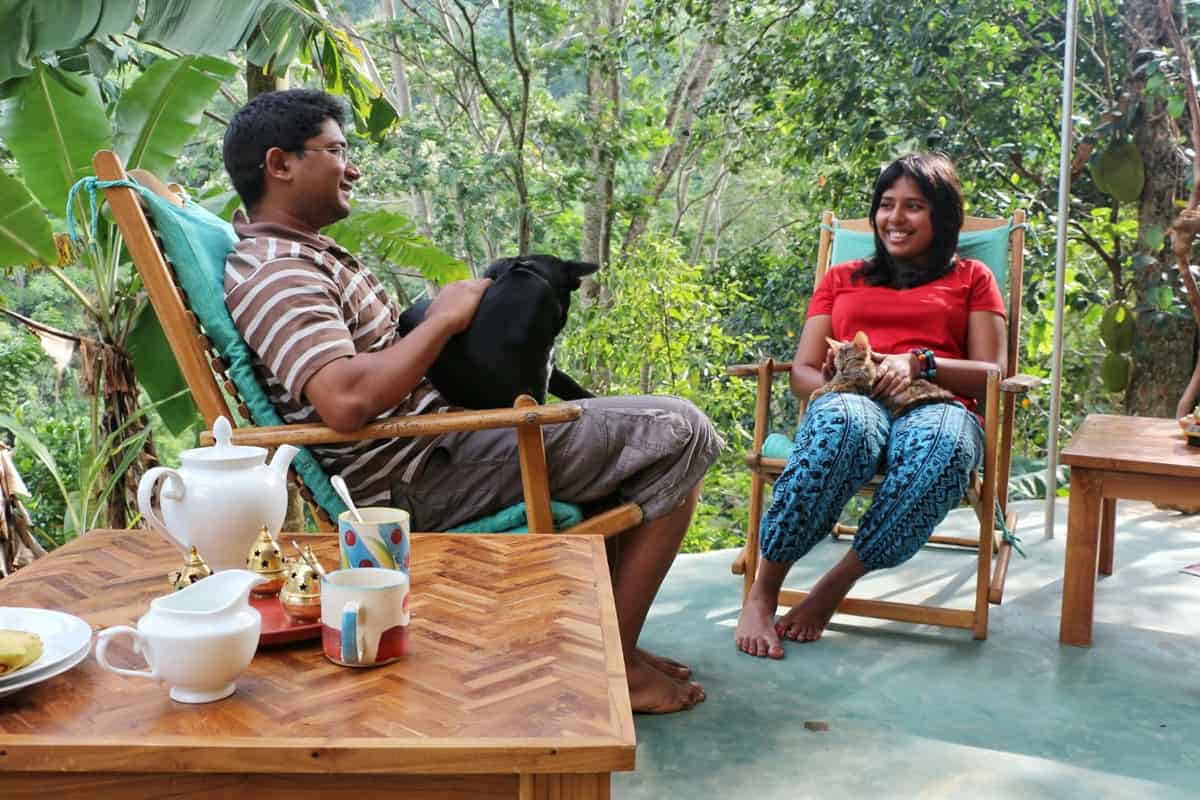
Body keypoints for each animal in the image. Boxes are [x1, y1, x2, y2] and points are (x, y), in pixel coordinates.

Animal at [816, 331, 955, 419]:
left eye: (849, 360)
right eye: (837, 361)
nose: (841, 369)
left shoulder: (868, 387)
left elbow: (852, 385)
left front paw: (839, 387)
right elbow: (828, 385)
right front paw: (818, 391)